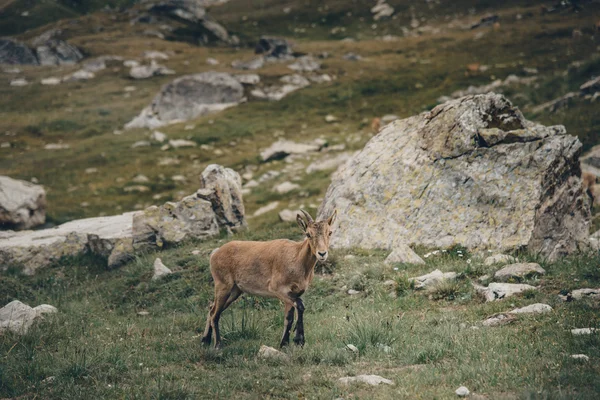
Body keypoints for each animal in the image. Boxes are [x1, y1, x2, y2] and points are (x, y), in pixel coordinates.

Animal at [199, 208, 336, 348]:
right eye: (308, 234)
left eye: (329, 232)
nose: (322, 253)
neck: (297, 258)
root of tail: (215, 254)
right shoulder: (278, 289)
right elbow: (300, 305)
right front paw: (299, 340)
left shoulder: (292, 294)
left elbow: (288, 318)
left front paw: (284, 343)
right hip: (223, 285)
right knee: (215, 313)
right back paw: (217, 345)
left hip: (234, 290)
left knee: (211, 308)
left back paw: (205, 340)